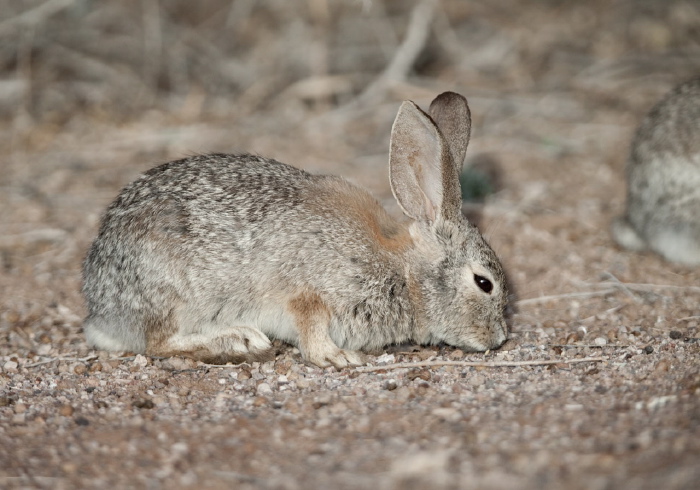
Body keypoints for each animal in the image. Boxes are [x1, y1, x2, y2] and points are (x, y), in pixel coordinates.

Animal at [82, 92, 508, 368]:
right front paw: (338, 357)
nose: (500, 338)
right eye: (483, 282)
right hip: (173, 292)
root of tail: (100, 311)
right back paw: (238, 341)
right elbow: (312, 331)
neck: (404, 272)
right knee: (157, 342)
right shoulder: (311, 293)